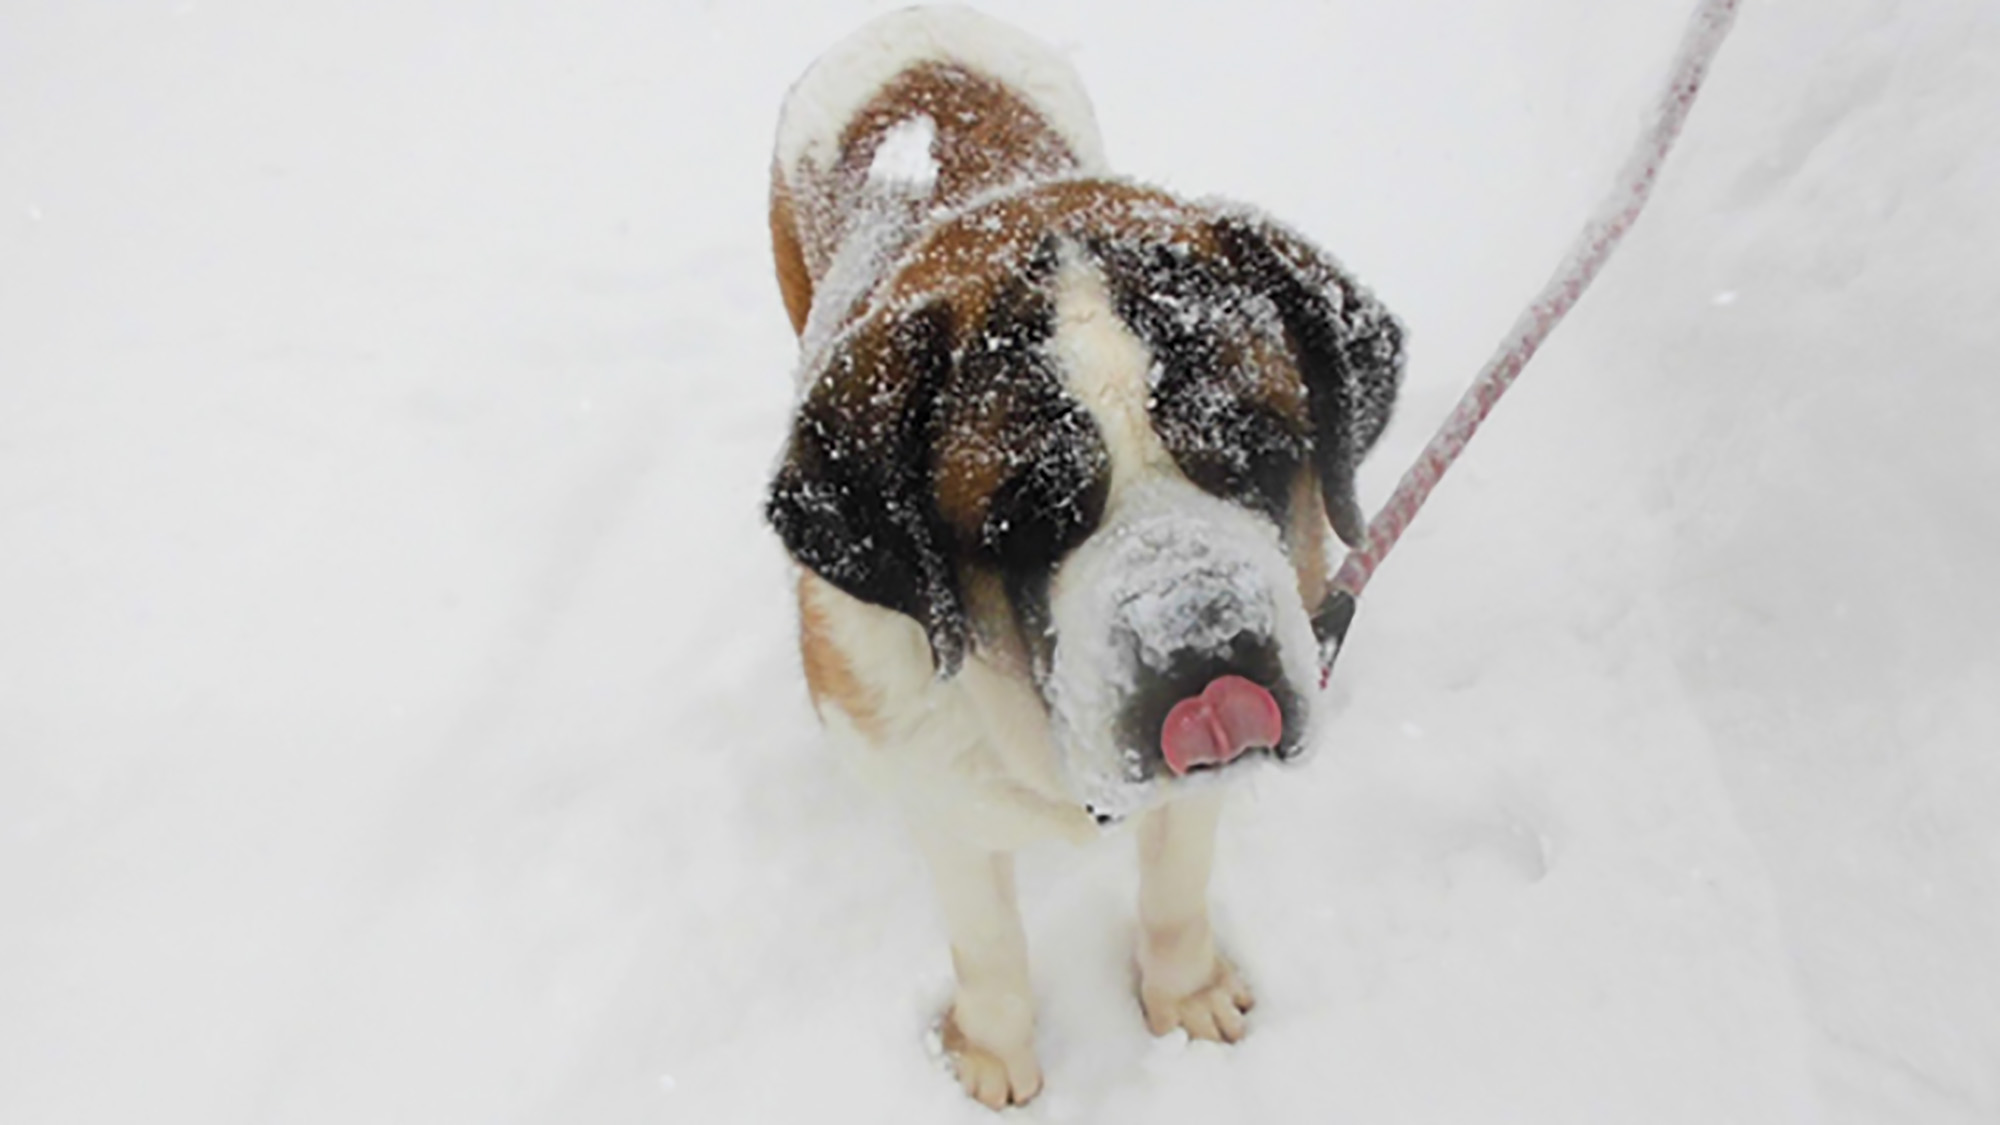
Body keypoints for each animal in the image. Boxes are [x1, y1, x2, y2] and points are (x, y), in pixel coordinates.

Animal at [764, 4, 1408, 1104]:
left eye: (1257, 452)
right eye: (1028, 517)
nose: (1205, 648)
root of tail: (909, 26)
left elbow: (1177, 884)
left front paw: (1185, 997)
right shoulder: (937, 792)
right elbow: (985, 940)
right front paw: (992, 1056)